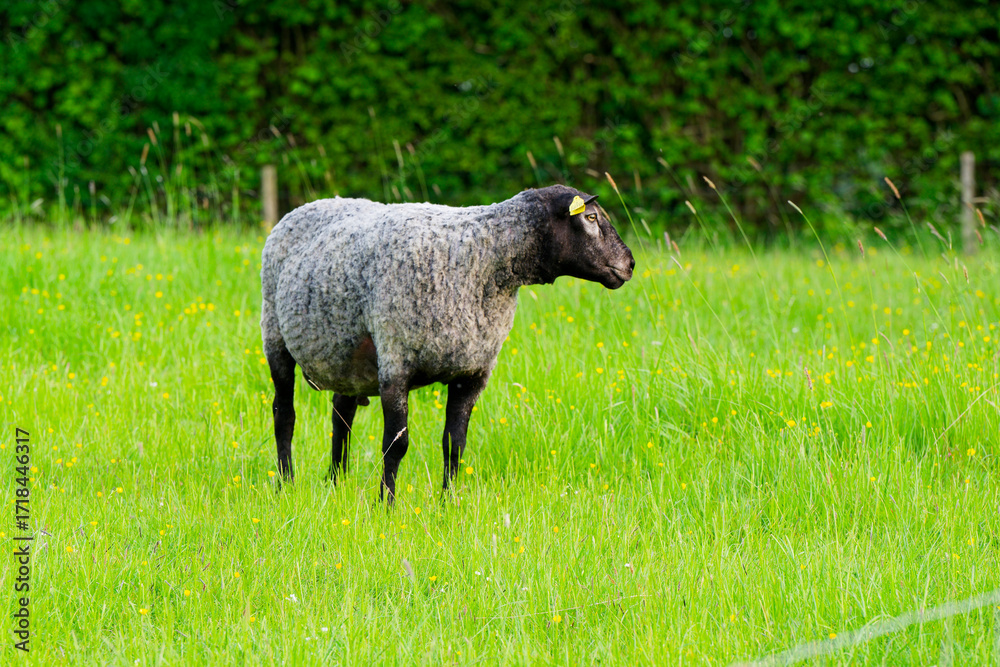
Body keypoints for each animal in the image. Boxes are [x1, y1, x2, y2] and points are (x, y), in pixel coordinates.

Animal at [260, 184, 635, 501]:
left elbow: (455, 443)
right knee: (284, 415)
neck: (486, 258)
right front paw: (386, 505)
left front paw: (448, 503)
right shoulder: (395, 361)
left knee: (341, 417)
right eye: (591, 217)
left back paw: (336, 481)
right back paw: (285, 483)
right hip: (275, 336)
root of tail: (312, 204)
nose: (629, 264)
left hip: (346, 356)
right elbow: (396, 444)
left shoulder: (472, 373)